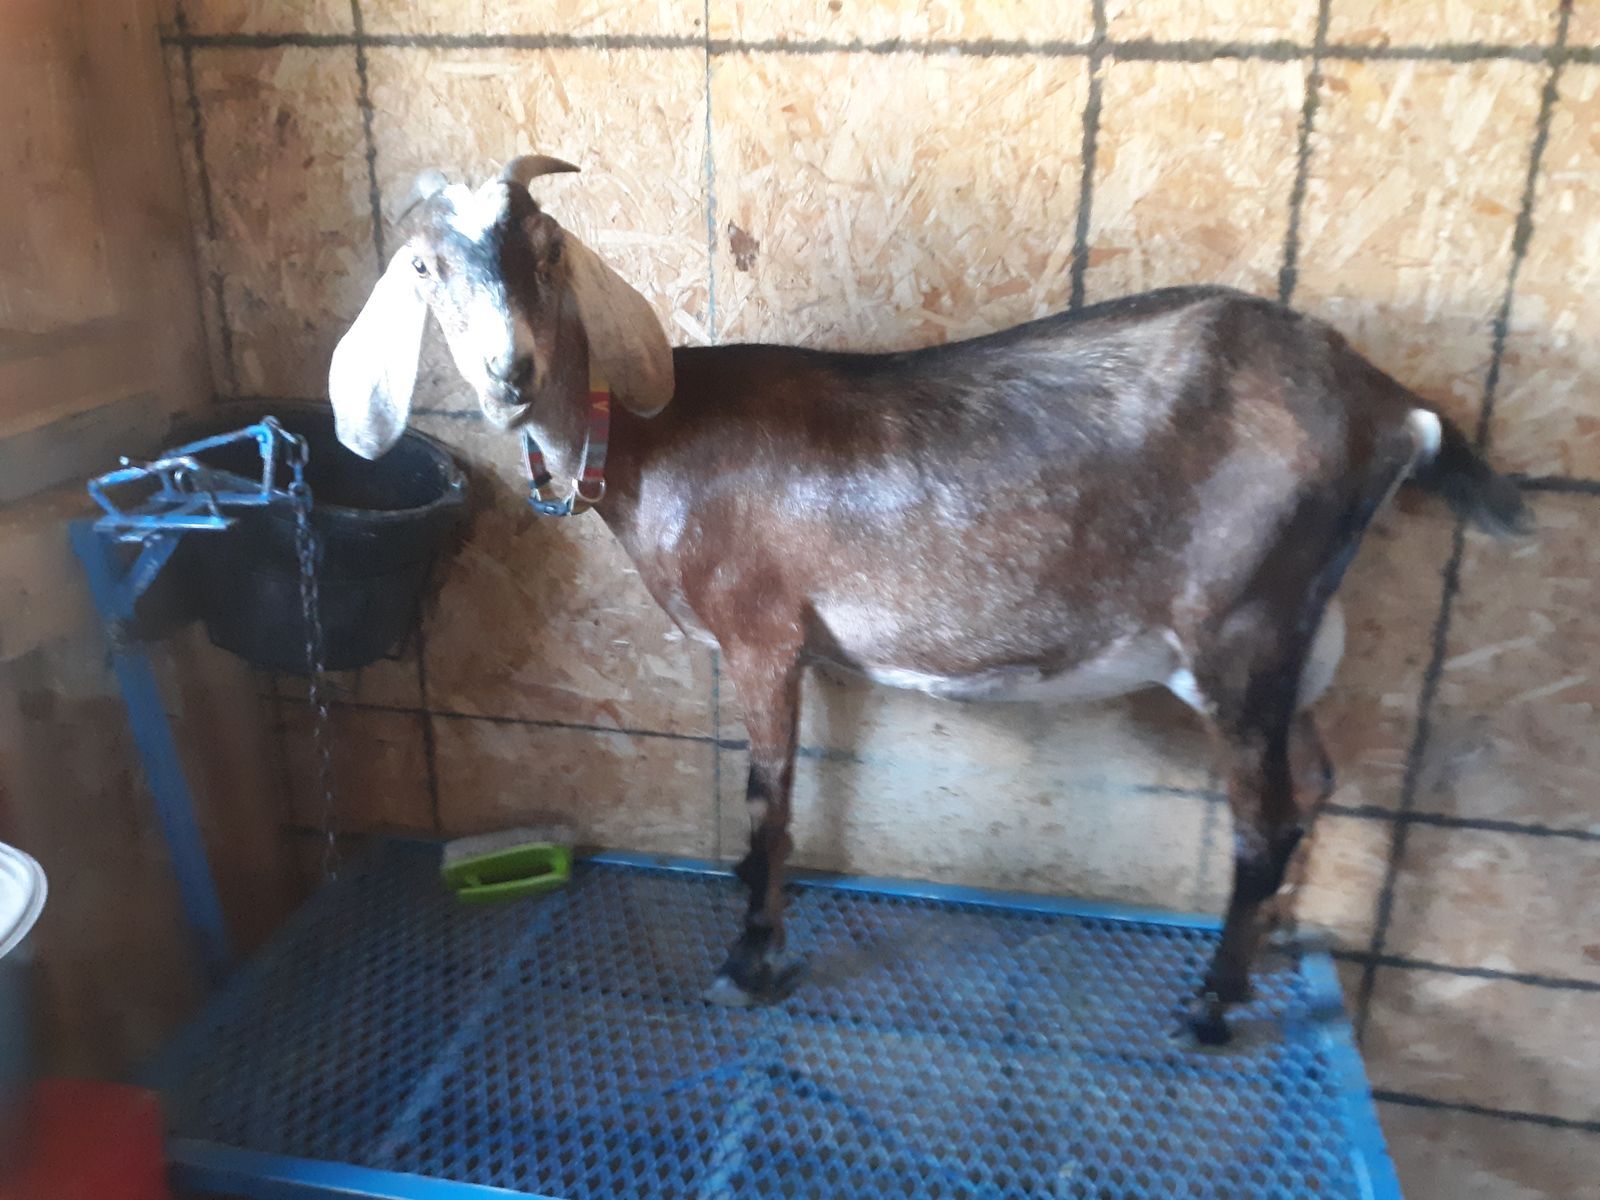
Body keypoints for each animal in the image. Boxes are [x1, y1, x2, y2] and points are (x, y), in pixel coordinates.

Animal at [330, 157, 1529, 1043]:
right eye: (427, 265)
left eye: (544, 249)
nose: (510, 376)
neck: (646, 444)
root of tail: (1392, 408)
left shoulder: (762, 634)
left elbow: (769, 801)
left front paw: (750, 961)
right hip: (1290, 639)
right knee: (1314, 781)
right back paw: (1272, 941)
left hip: (1237, 629)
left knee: (1264, 819)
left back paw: (1210, 1006)